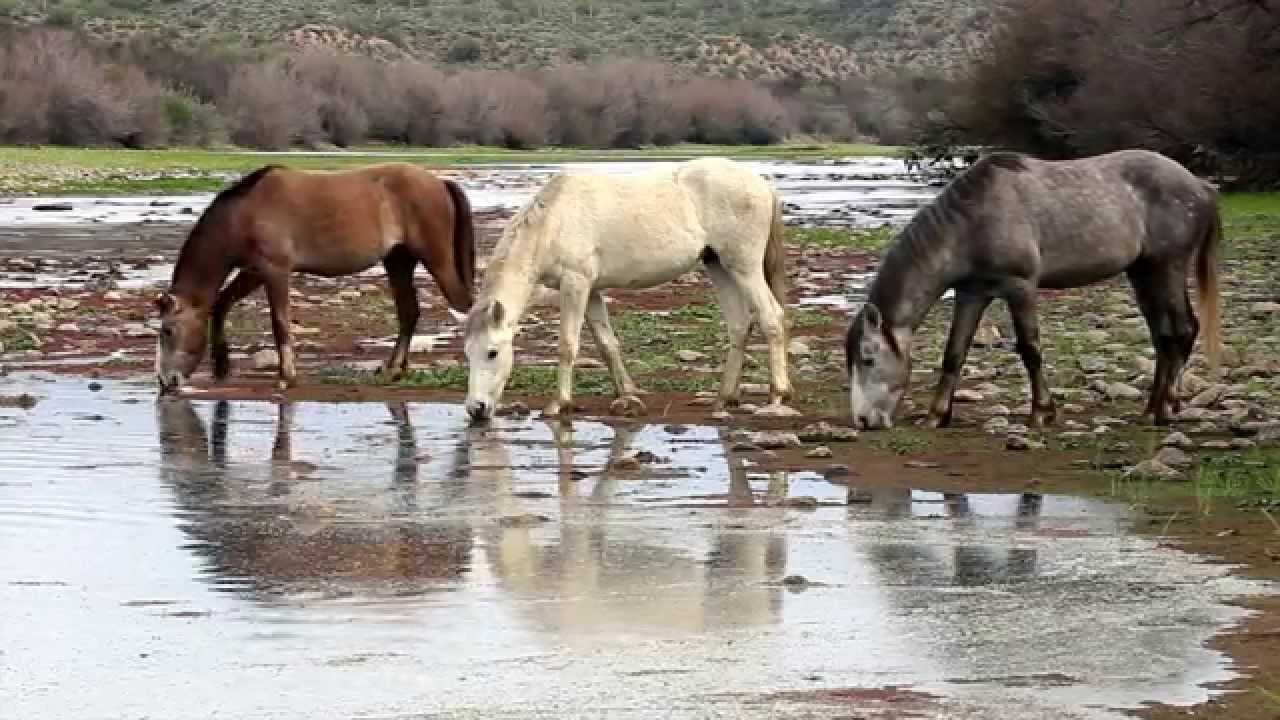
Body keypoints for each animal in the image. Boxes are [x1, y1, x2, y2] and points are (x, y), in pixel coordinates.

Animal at [153, 162, 476, 393]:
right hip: (398, 262)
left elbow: (279, 323)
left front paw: (286, 376)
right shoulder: (254, 272)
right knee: (409, 312)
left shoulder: (275, 271)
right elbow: (221, 304)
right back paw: (393, 370)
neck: (245, 213)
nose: (165, 381)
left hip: (437, 261)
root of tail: (440, 182)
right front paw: (221, 365)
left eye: (167, 331)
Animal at [462, 157, 790, 422]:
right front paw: (627, 394)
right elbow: (607, 344)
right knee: (739, 326)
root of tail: (761, 184)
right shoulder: (591, 290)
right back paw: (725, 397)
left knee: (771, 318)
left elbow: (567, 344)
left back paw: (778, 394)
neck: (554, 220)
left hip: (744, 267)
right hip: (719, 265)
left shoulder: (575, 284)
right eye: (468, 353)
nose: (476, 409)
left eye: (492, 352)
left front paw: (560, 403)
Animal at [844, 149, 1222, 430]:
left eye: (868, 358)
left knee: (1182, 330)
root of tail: (1199, 185)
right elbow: (954, 353)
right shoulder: (972, 294)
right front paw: (937, 415)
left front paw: (1042, 412)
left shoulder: (1020, 287)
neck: (973, 222)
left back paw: (1166, 408)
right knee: (1163, 336)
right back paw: (1153, 408)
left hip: (1167, 267)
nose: (862, 420)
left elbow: (1030, 349)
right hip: (1143, 272)